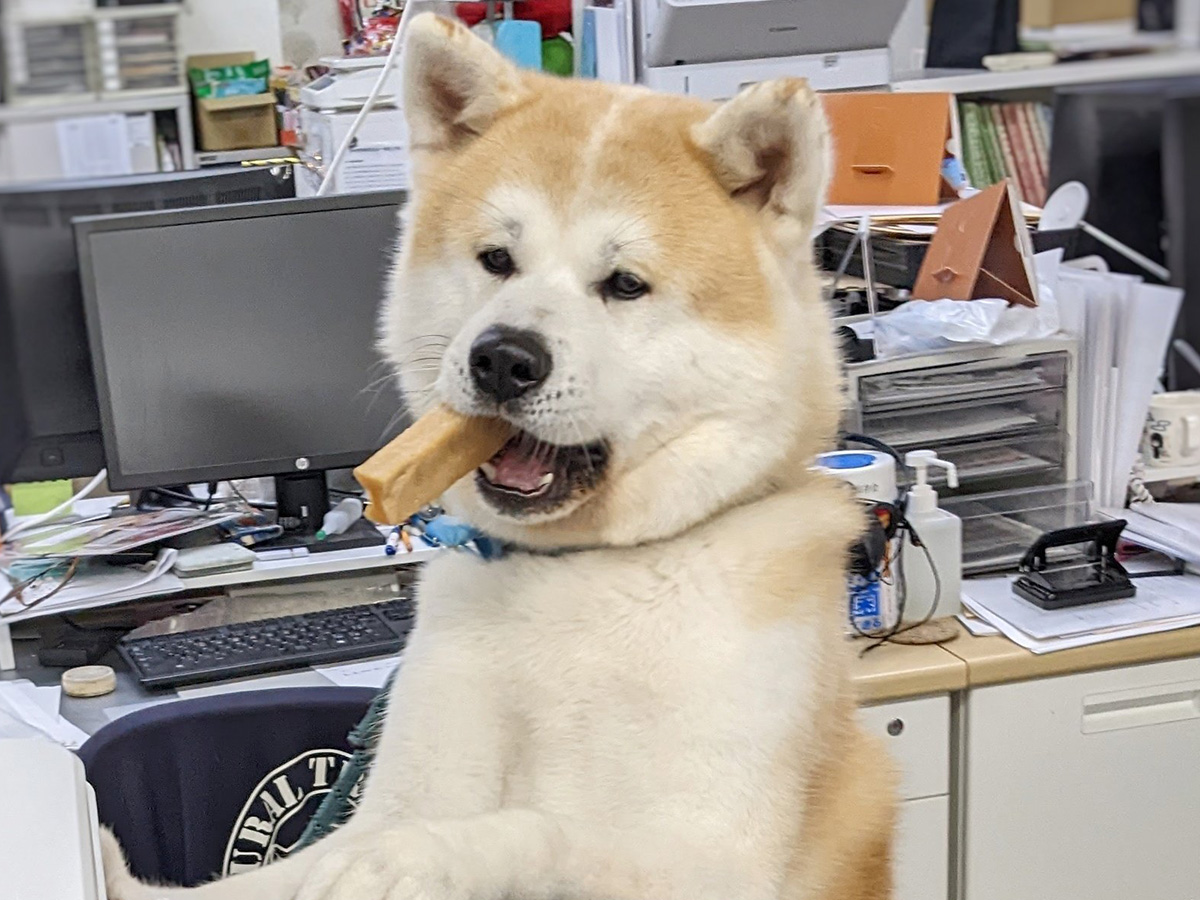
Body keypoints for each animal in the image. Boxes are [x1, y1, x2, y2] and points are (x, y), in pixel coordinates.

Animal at [100, 14, 892, 900]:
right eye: (497, 260)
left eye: (625, 284)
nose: (504, 358)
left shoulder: (713, 857)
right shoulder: (409, 773)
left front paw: (416, 857)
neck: (576, 574)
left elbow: (538, 832)